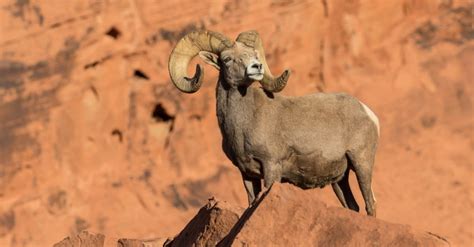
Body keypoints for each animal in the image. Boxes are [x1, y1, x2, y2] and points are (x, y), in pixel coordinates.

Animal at [168, 30, 380, 216]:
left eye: (254, 55)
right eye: (226, 59)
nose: (257, 67)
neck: (243, 126)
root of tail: (368, 113)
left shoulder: (272, 167)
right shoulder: (247, 175)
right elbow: (251, 203)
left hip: (361, 163)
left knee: (370, 204)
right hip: (339, 180)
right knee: (353, 207)